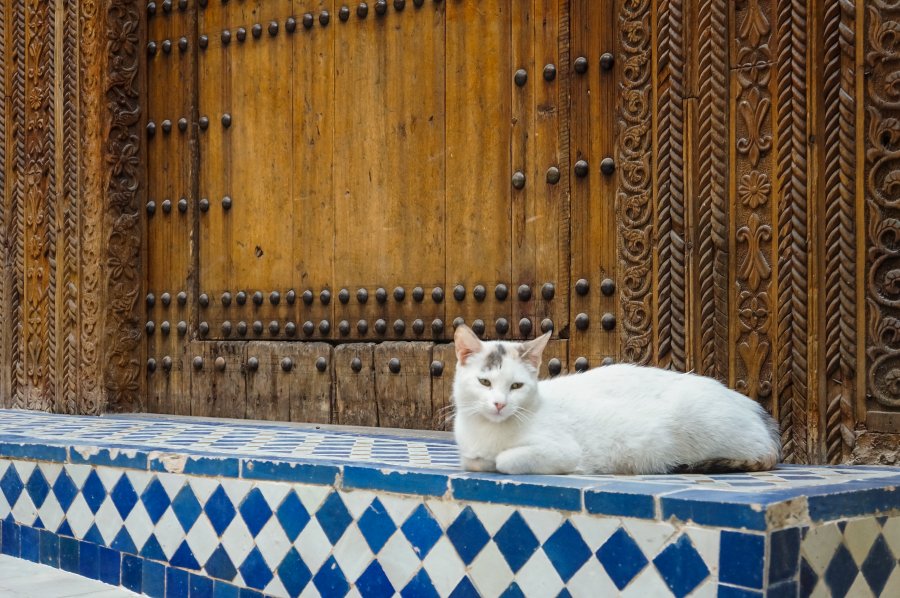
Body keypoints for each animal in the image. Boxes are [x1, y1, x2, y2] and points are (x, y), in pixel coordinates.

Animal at [450, 326, 780, 476]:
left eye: (516, 386)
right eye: (484, 382)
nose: (499, 404)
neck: (489, 432)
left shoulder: (563, 451)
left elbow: (505, 460)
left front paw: (498, 460)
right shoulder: (469, 453)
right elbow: (473, 461)